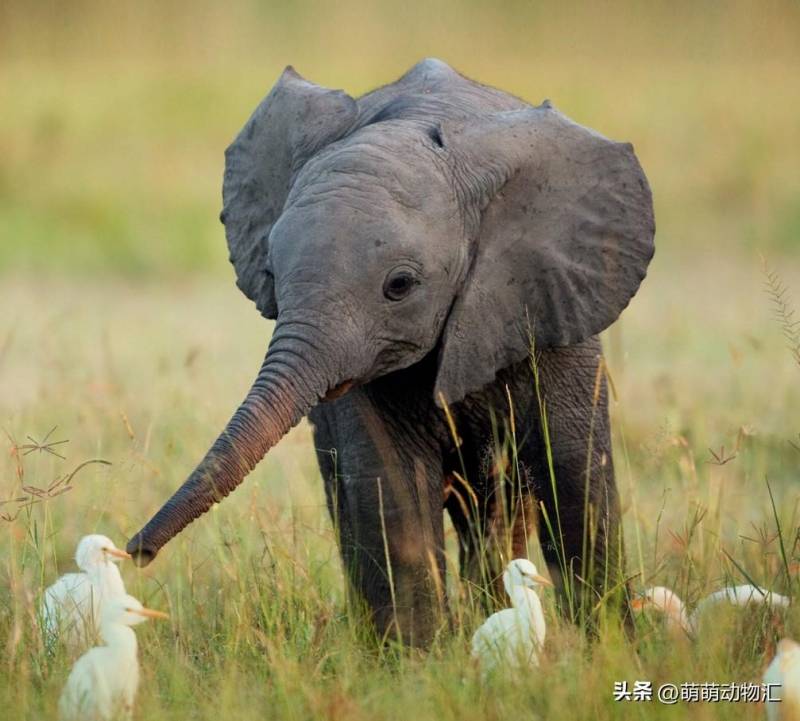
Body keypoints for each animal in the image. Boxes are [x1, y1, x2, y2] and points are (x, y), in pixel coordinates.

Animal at [130, 59, 656, 644]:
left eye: (399, 286)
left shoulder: (552, 302)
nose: (137, 553)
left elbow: (574, 476)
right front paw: (418, 660)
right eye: (270, 273)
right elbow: (391, 487)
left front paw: (610, 647)